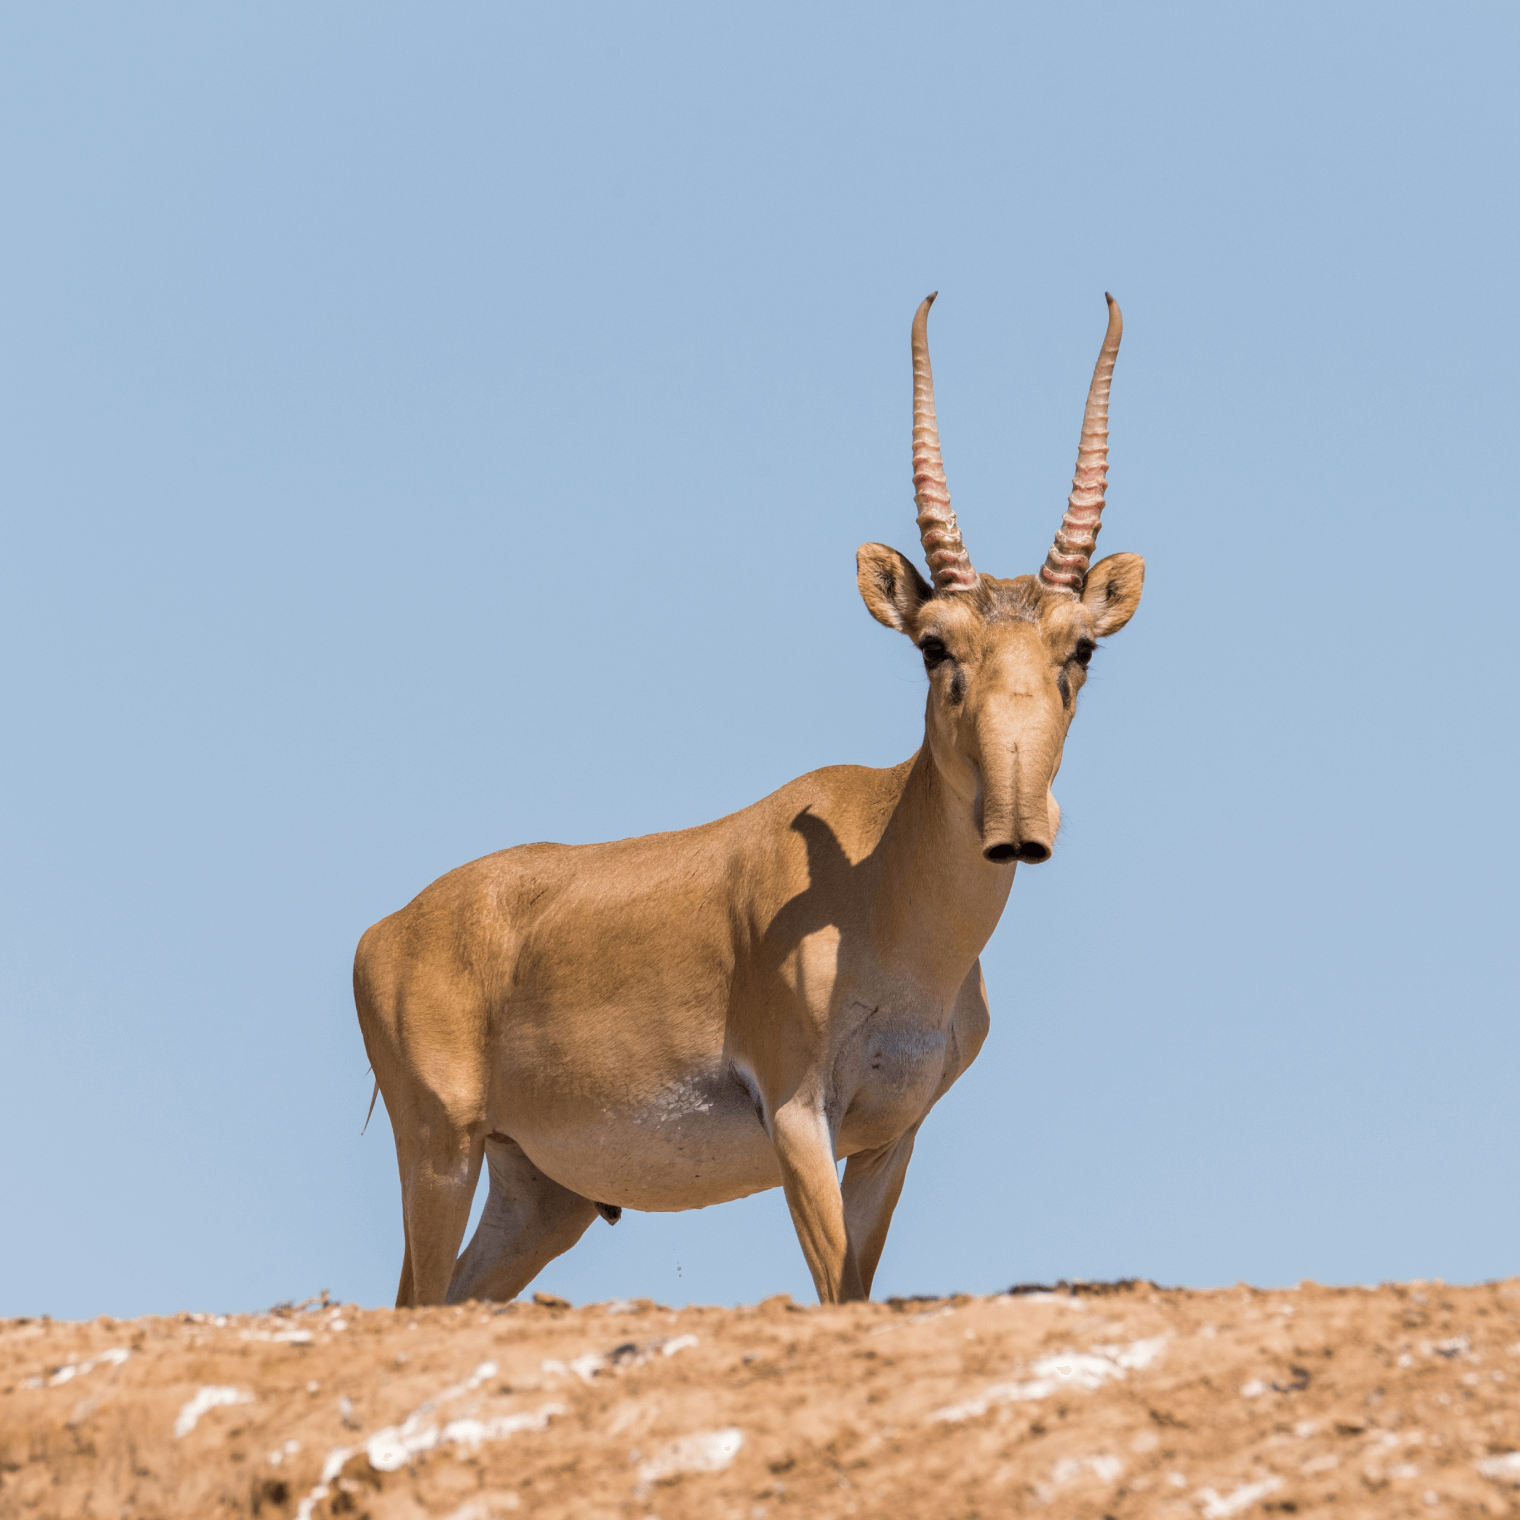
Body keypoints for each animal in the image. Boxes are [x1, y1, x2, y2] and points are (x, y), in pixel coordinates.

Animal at [355, 296, 1143, 1307]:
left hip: (540, 1195)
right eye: (935, 645)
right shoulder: (799, 1117)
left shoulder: (889, 1140)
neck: (878, 892)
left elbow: (857, 1288)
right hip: (440, 1152)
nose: (1016, 829)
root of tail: (385, 932)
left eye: (1079, 648)